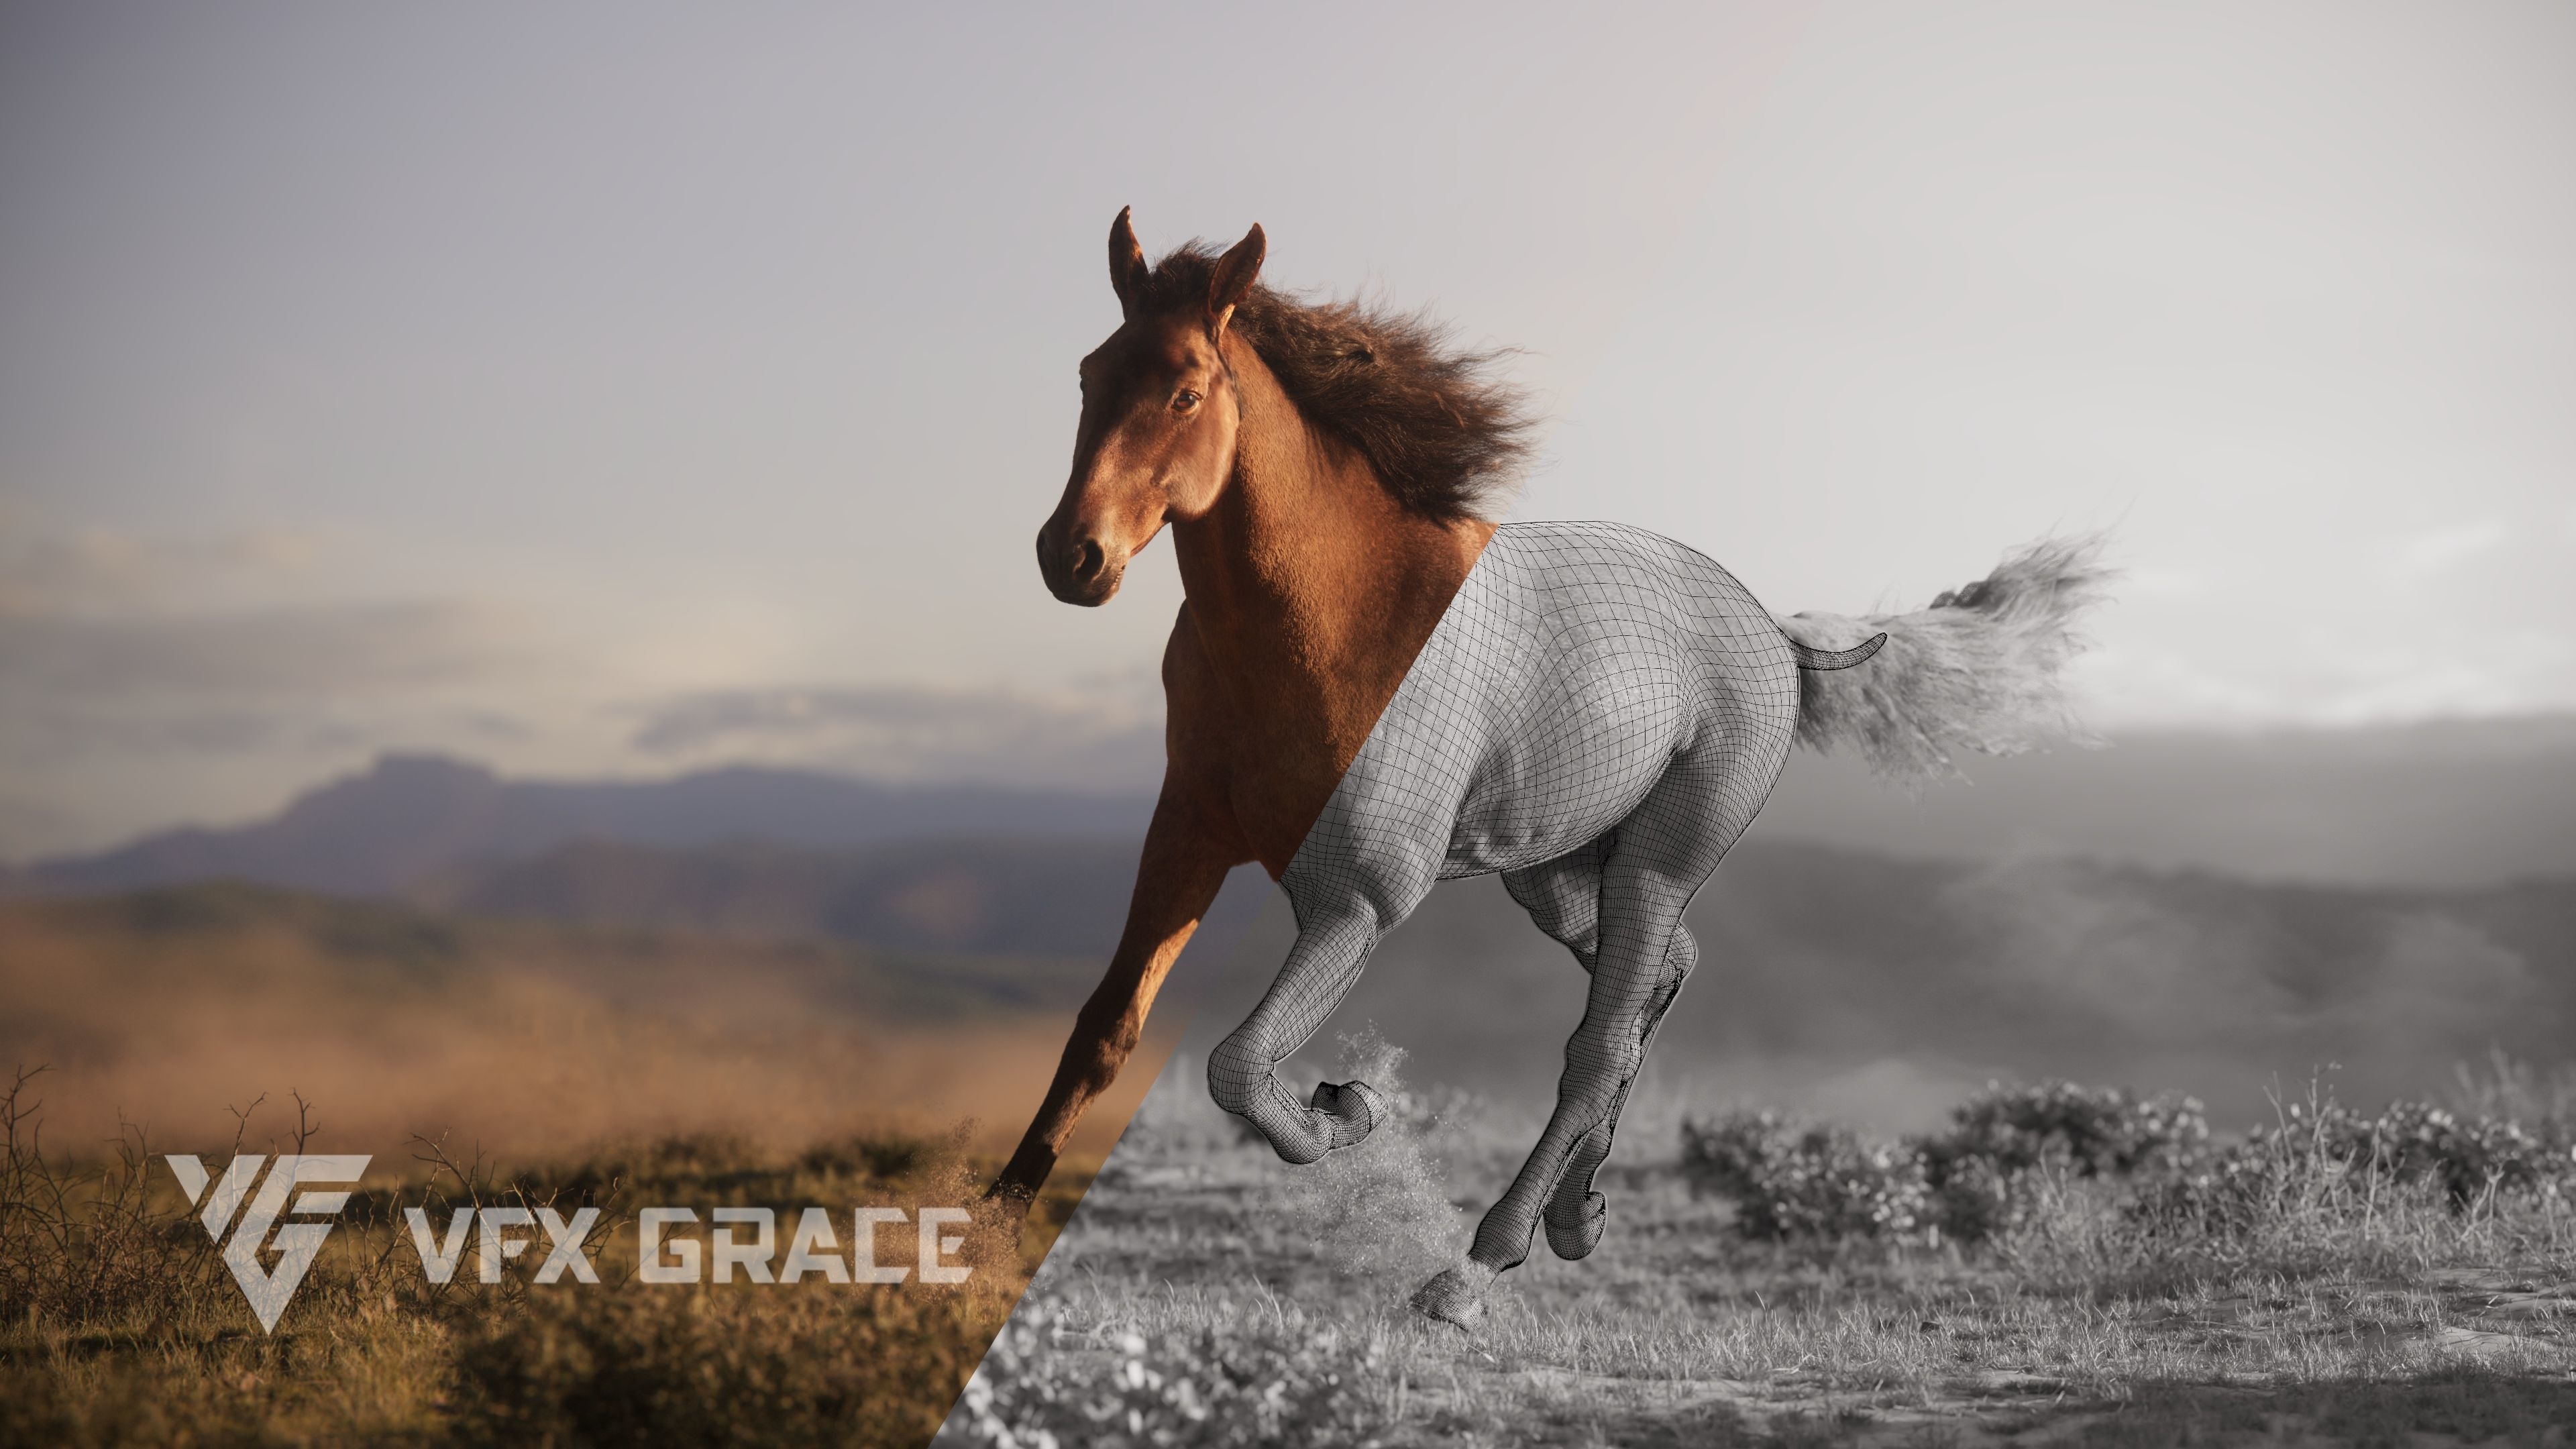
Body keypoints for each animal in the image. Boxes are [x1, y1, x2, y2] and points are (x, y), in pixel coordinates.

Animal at [994, 209, 2108, 1327]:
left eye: (1185, 389)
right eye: (1092, 375)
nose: (1071, 557)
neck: (1325, 629)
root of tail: (1775, 630)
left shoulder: (1356, 897)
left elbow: (1240, 1063)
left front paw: (1348, 1110)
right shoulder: (1188, 835)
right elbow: (1108, 1028)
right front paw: (993, 1233)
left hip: (1657, 859)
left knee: (1601, 1041)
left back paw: (1478, 1265)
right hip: (1556, 875)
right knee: (1662, 978)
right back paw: (1576, 1215)